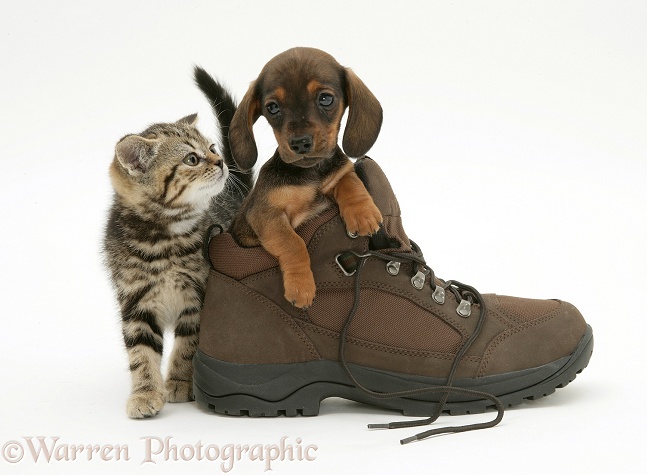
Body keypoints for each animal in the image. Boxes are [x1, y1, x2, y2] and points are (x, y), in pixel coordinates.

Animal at [105, 90, 244, 420]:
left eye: (212, 148)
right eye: (191, 159)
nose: (221, 161)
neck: (162, 240)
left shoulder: (199, 296)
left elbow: (188, 342)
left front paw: (181, 381)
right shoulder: (136, 301)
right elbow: (141, 352)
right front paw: (145, 393)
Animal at [228, 46, 382, 308]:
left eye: (325, 98)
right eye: (272, 107)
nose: (300, 143)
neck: (310, 173)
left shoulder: (337, 175)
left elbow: (349, 181)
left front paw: (363, 213)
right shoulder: (265, 213)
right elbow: (294, 243)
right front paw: (301, 285)